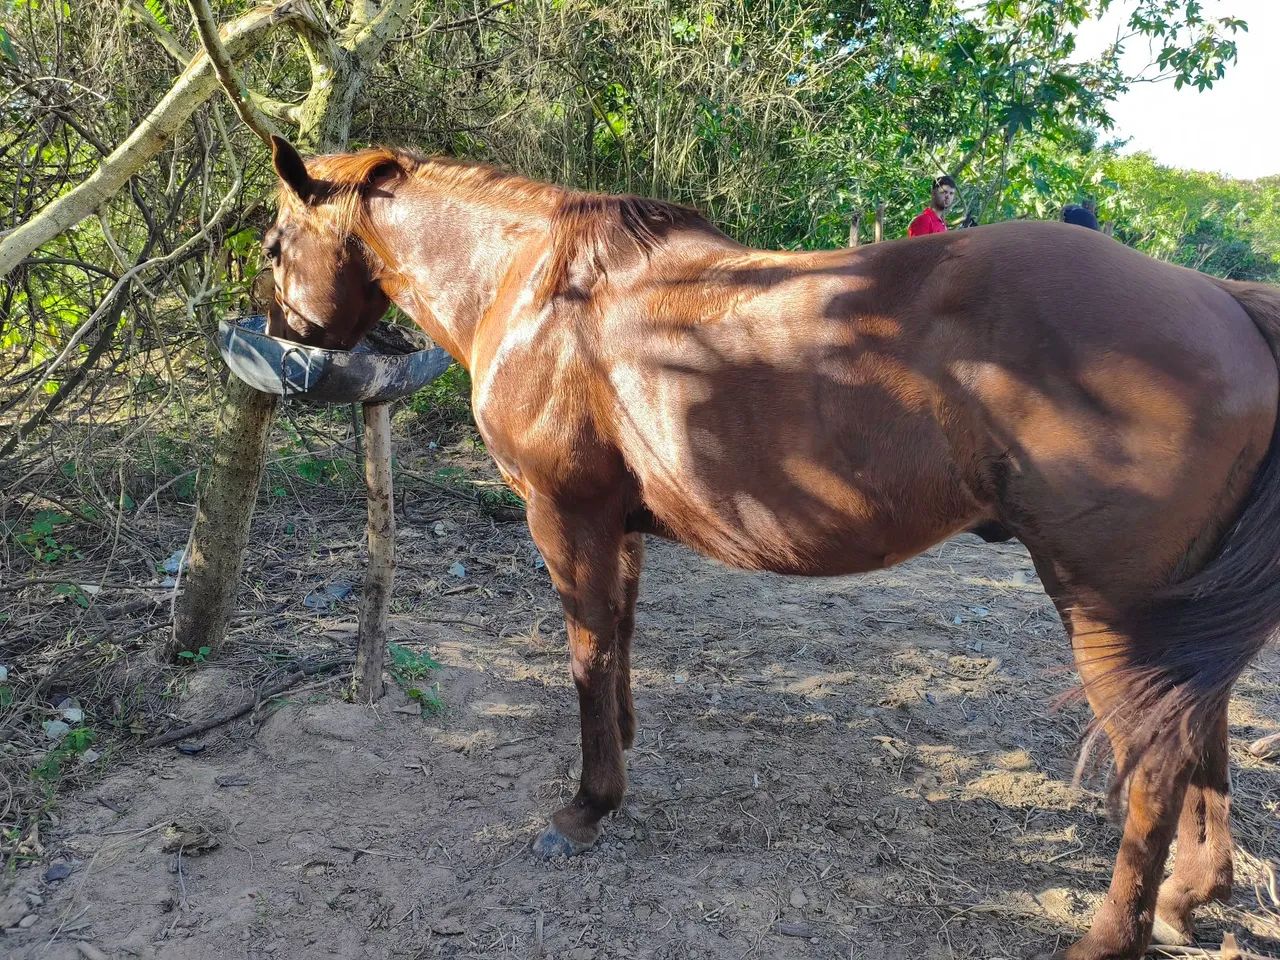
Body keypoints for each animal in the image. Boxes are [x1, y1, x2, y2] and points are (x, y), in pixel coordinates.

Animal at [260, 135, 1280, 960]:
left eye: (272, 245)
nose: (283, 344)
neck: (544, 286)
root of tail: (1223, 303)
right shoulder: (616, 527)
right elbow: (619, 639)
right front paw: (622, 748)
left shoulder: (564, 515)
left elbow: (586, 651)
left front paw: (588, 804)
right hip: (1173, 618)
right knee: (1205, 739)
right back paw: (1187, 899)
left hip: (1112, 613)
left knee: (1156, 767)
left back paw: (1110, 934)